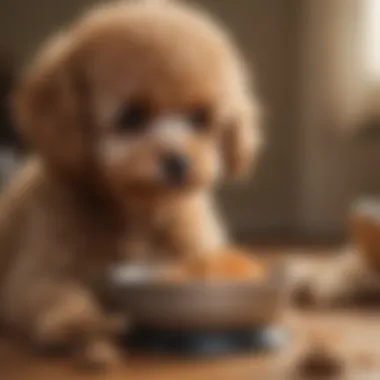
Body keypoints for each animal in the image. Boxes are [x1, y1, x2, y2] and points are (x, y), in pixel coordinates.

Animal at [0, 0, 262, 368]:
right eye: (132, 116)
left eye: (200, 118)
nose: (179, 162)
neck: (137, 213)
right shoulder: (34, 276)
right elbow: (55, 295)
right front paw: (80, 323)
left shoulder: (194, 251)